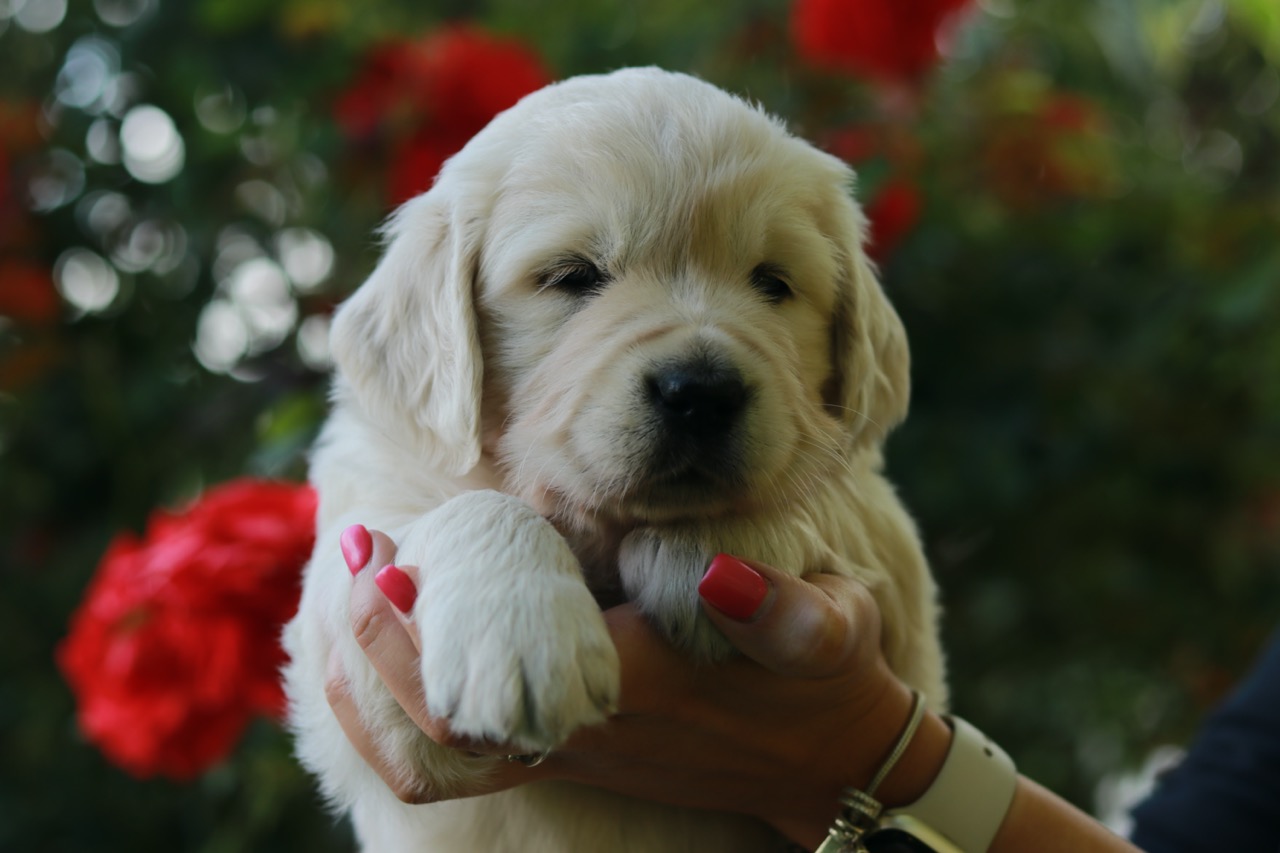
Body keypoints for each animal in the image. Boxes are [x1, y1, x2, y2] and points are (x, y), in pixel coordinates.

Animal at [285, 63, 947, 845]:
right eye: (573, 275)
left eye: (773, 282)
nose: (702, 392)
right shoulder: (362, 630)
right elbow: (466, 507)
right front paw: (520, 635)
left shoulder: (894, 577)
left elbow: (827, 496)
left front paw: (712, 542)